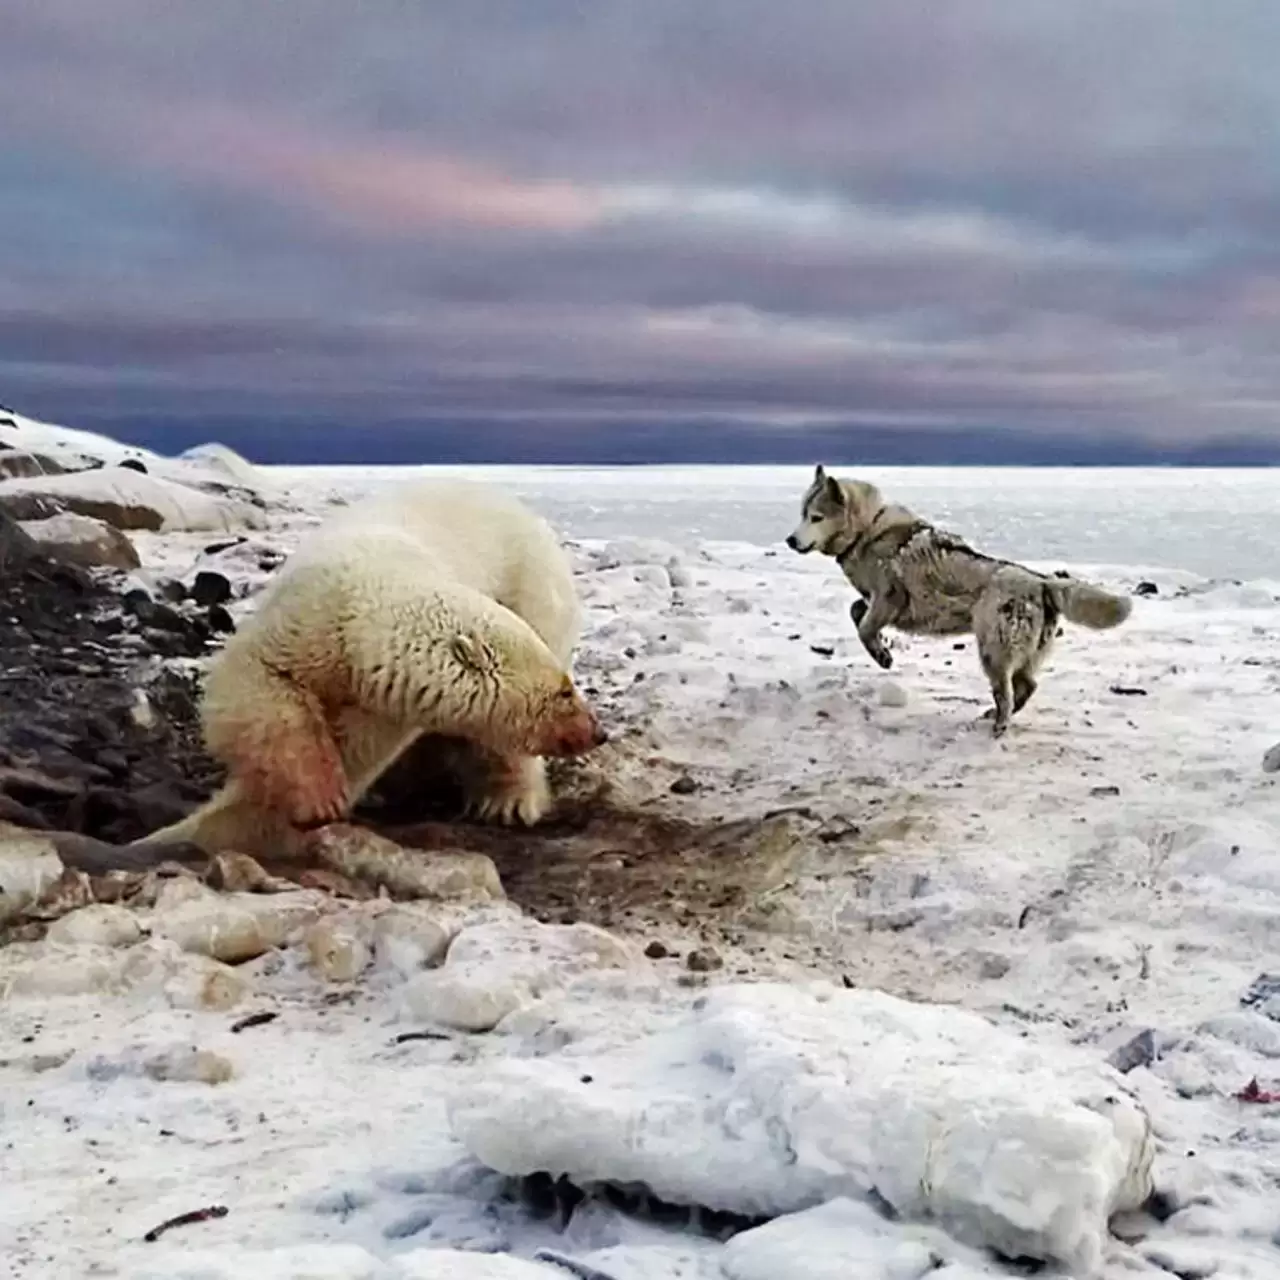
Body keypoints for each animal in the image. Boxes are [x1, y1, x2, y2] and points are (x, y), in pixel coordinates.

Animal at [137, 481, 606, 860]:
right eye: (564, 693)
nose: (596, 731)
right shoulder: (305, 620)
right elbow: (253, 689)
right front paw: (317, 797)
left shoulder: (383, 700)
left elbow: (351, 750)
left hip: (533, 594)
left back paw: (507, 801)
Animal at [783, 465, 1136, 737]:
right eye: (802, 514)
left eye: (816, 517)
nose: (790, 540)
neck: (866, 531)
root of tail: (1040, 582)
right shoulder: (875, 600)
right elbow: (857, 611)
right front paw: (882, 649)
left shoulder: (890, 597)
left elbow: (865, 627)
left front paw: (882, 656)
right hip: (1019, 653)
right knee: (1027, 687)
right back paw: (993, 717)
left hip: (993, 649)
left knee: (1008, 693)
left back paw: (998, 726)